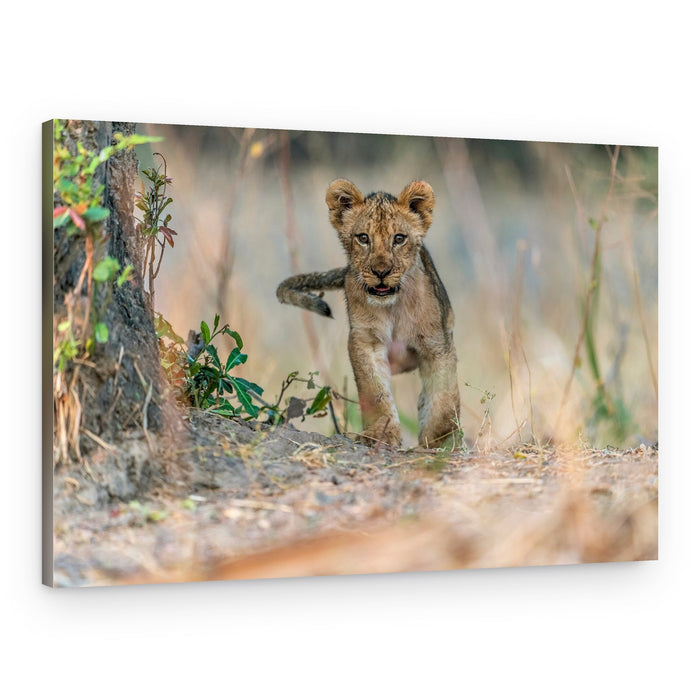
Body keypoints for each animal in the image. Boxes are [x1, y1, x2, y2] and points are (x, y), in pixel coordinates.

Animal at [277, 179, 460, 449]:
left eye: (399, 238)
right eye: (363, 238)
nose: (381, 271)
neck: (392, 308)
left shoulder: (437, 344)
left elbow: (444, 397)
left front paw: (442, 442)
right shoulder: (365, 342)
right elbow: (375, 391)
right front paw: (380, 434)